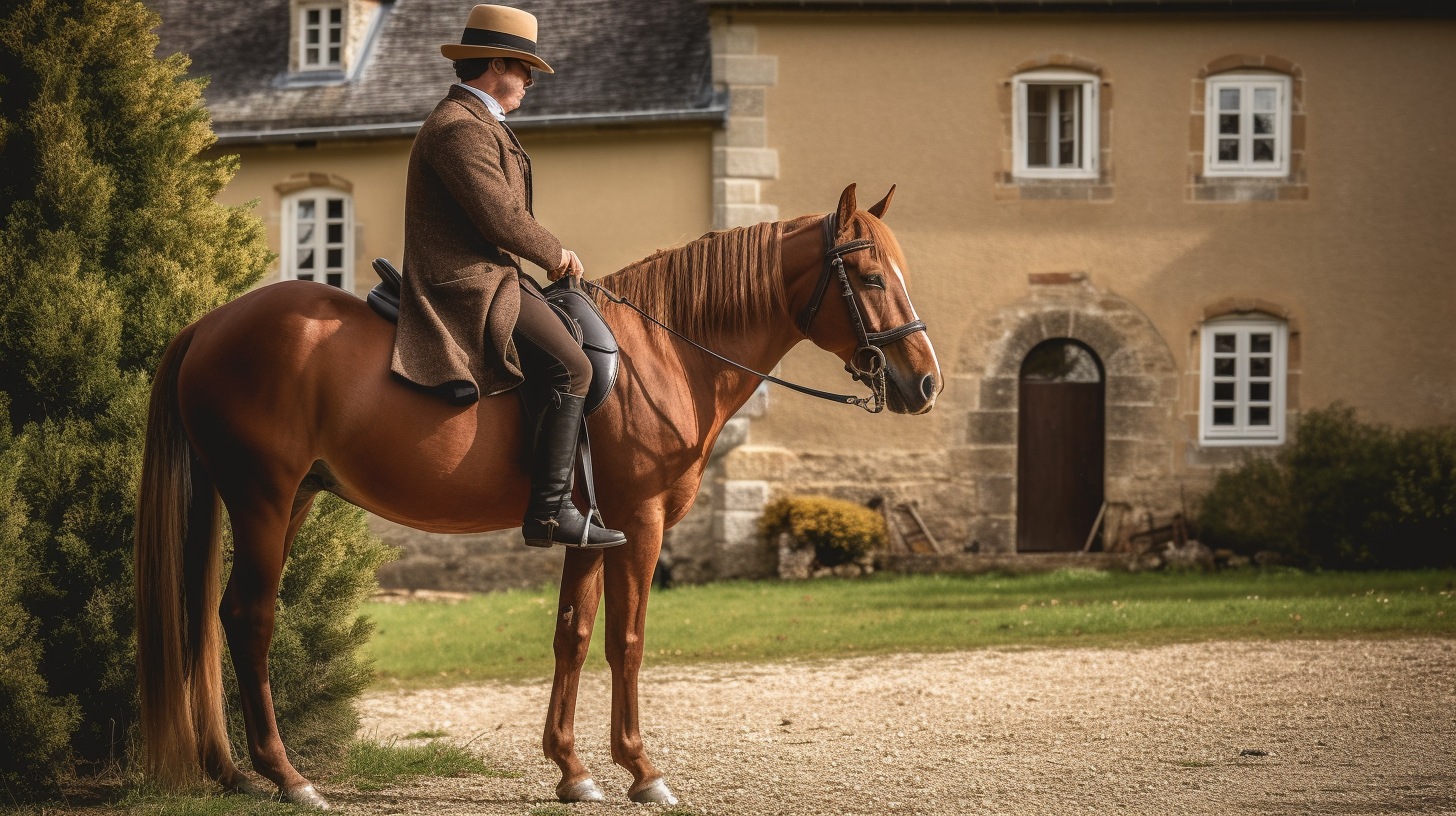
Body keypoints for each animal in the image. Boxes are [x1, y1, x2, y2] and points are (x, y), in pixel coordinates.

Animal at [136, 183, 943, 804]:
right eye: (872, 280)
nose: (926, 382)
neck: (661, 353)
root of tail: (209, 324)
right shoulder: (640, 523)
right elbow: (627, 639)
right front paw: (641, 770)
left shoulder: (590, 528)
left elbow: (573, 635)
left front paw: (572, 769)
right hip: (264, 497)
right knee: (249, 618)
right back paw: (287, 775)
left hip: (285, 496)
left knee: (212, 619)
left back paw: (231, 771)